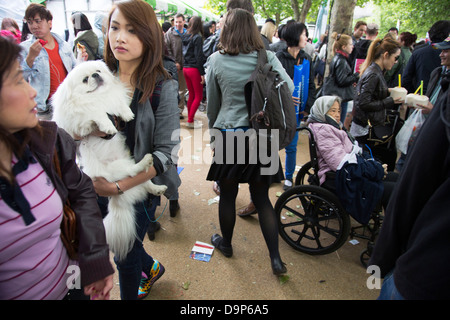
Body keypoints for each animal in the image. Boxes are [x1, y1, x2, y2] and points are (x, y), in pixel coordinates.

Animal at [51, 61, 167, 262]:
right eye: (85, 79)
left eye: (97, 71)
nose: (95, 76)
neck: (98, 96)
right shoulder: (81, 117)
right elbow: (96, 113)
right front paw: (108, 126)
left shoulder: (113, 99)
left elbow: (119, 103)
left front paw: (127, 114)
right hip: (119, 166)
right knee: (134, 172)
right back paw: (146, 162)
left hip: (126, 161)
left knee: (144, 182)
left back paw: (158, 187)